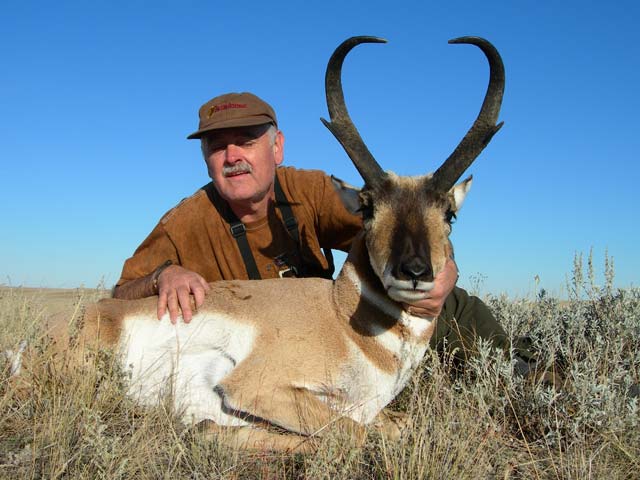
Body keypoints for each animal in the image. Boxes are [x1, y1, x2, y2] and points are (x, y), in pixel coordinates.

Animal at [13, 35, 504, 452]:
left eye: (449, 213)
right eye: (367, 208)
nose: (415, 272)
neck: (340, 318)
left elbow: (395, 425)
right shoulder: (255, 387)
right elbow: (350, 433)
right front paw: (212, 426)